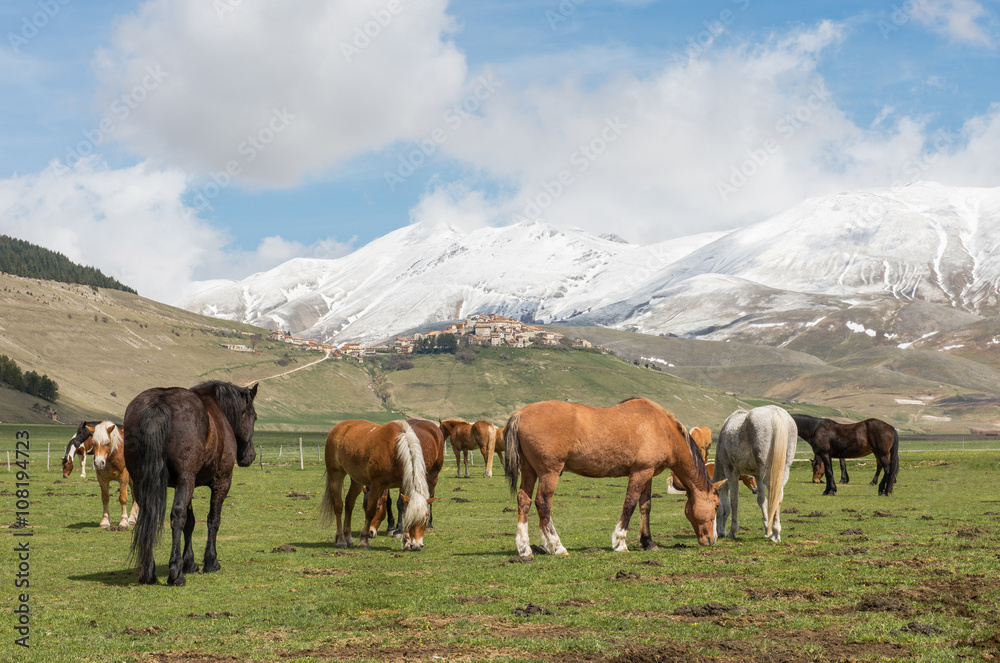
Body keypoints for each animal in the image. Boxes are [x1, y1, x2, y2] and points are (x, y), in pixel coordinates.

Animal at [124, 381, 258, 586]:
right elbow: (212, 520)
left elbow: (191, 522)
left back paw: (148, 572)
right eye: (255, 417)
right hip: (184, 479)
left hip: (143, 482)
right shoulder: (221, 482)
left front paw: (190, 563)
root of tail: (158, 404)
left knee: (147, 516)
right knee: (177, 516)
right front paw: (210, 562)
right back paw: (175, 573)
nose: (250, 456)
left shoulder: (190, 484)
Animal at [321, 419, 442, 551]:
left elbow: (404, 510)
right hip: (336, 474)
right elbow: (370, 512)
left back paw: (348, 538)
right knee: (338, 506)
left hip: (357, 480)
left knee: (349, 503)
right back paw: (341, 540)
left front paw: (406, 542)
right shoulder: (376, 484)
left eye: (425, 517)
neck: (396, 450)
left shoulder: (404, 485)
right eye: (378, 508)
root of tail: (338, 427)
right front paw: (364, 541)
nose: (417, 546)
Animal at [503, 398, 726, 557]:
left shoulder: (648, 474)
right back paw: (557, 546)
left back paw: (524, 548)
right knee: (543, 503)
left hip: (530, 471)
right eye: (716, 505)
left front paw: (648, 542)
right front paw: (620, 542)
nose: (711, 539)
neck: (662, 429)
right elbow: (630, 504)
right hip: (549, 472)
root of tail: (520, 414)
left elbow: (645, 506)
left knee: (524, 501)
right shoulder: (639, 473)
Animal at [715, 406, 797, 543]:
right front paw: (766, 530)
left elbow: (733, 502)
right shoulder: (758, 475)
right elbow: (762, 500)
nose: (719, 533)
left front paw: (732, 532)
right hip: (783, 472)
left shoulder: (731, 472)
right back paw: (774, 532)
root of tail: (777, 414)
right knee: (778, 497)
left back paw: (775, 534)